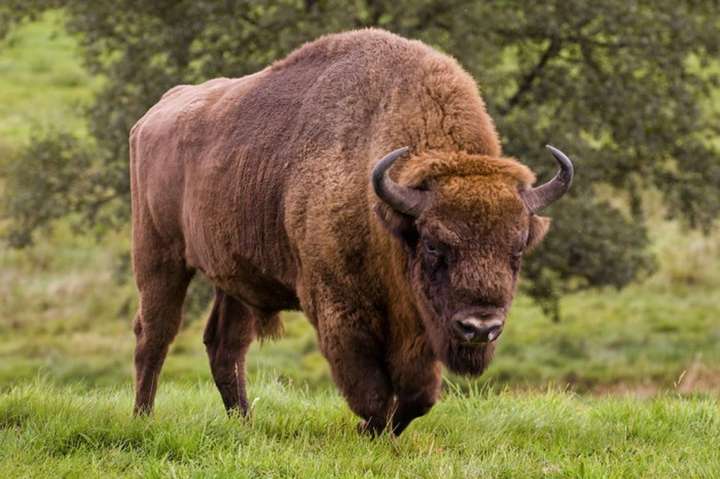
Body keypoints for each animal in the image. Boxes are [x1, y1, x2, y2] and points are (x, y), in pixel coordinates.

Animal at [131, 28, 572, 436]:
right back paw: (143, 418)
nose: (480, 328)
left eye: (517, 249)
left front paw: (380, 430)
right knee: (154, 335)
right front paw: (367, 430)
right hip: (159, 256)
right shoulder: (341, 311)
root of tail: (155, 114)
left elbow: (418, 396)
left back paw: (245, 424)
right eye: (434, 245)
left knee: (225, 345)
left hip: (235, 278)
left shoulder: (416, 326)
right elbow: (371, 391)